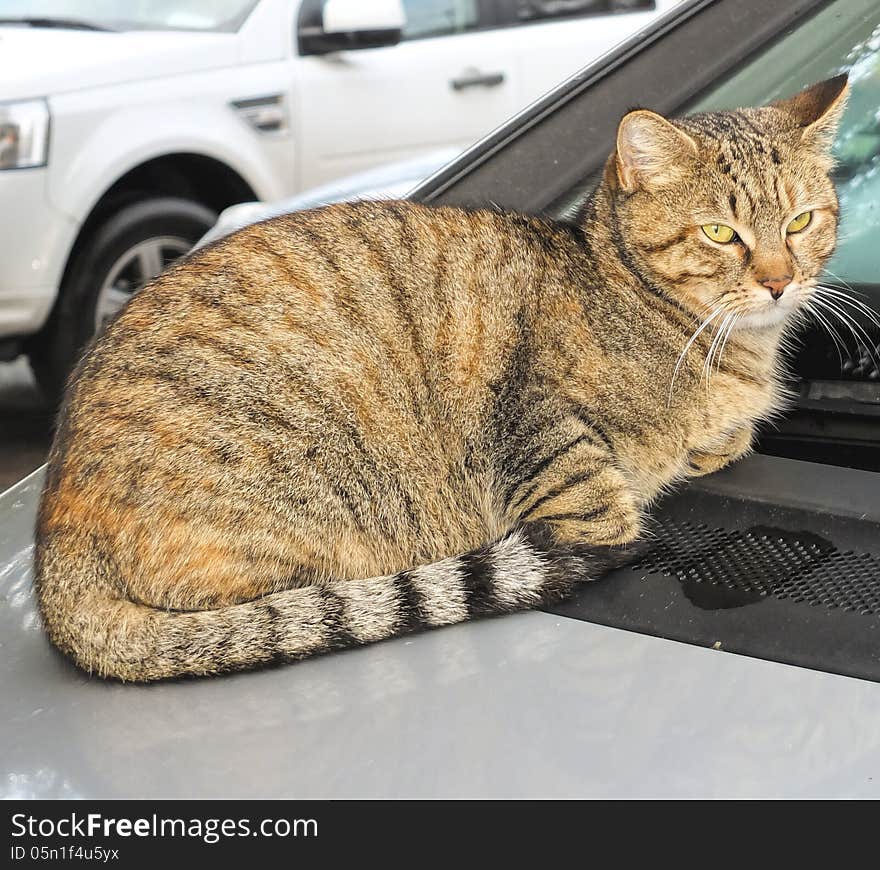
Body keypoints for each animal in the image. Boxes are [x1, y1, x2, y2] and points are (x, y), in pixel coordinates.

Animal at [32, 78, 844, 684]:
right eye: (721, 234)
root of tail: (52, 539)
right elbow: (609, 511)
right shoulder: (549, 448)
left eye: (802, 221)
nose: (780, 282)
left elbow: (724, 440)